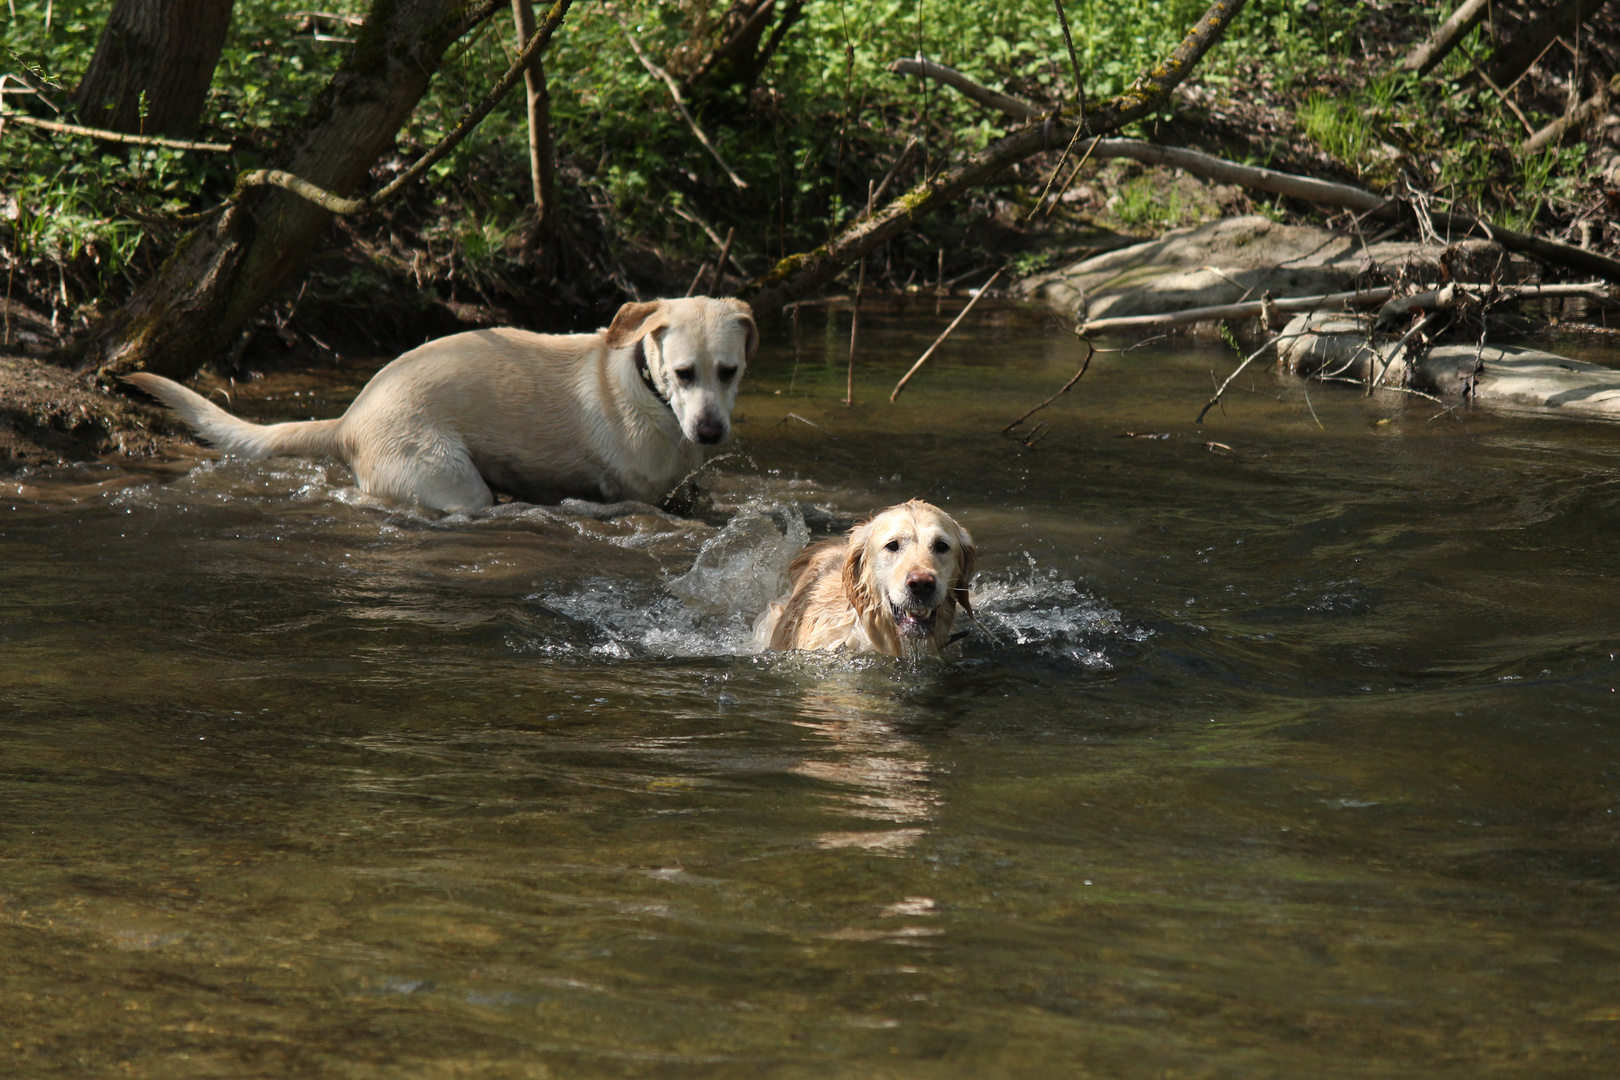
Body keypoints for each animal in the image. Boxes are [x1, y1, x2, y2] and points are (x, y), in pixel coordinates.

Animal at [126, 297, 758, 514]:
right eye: (683, 373)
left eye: (729, 371)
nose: (709, 432)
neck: (651, 393)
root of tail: (349, 418)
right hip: (448, 478)